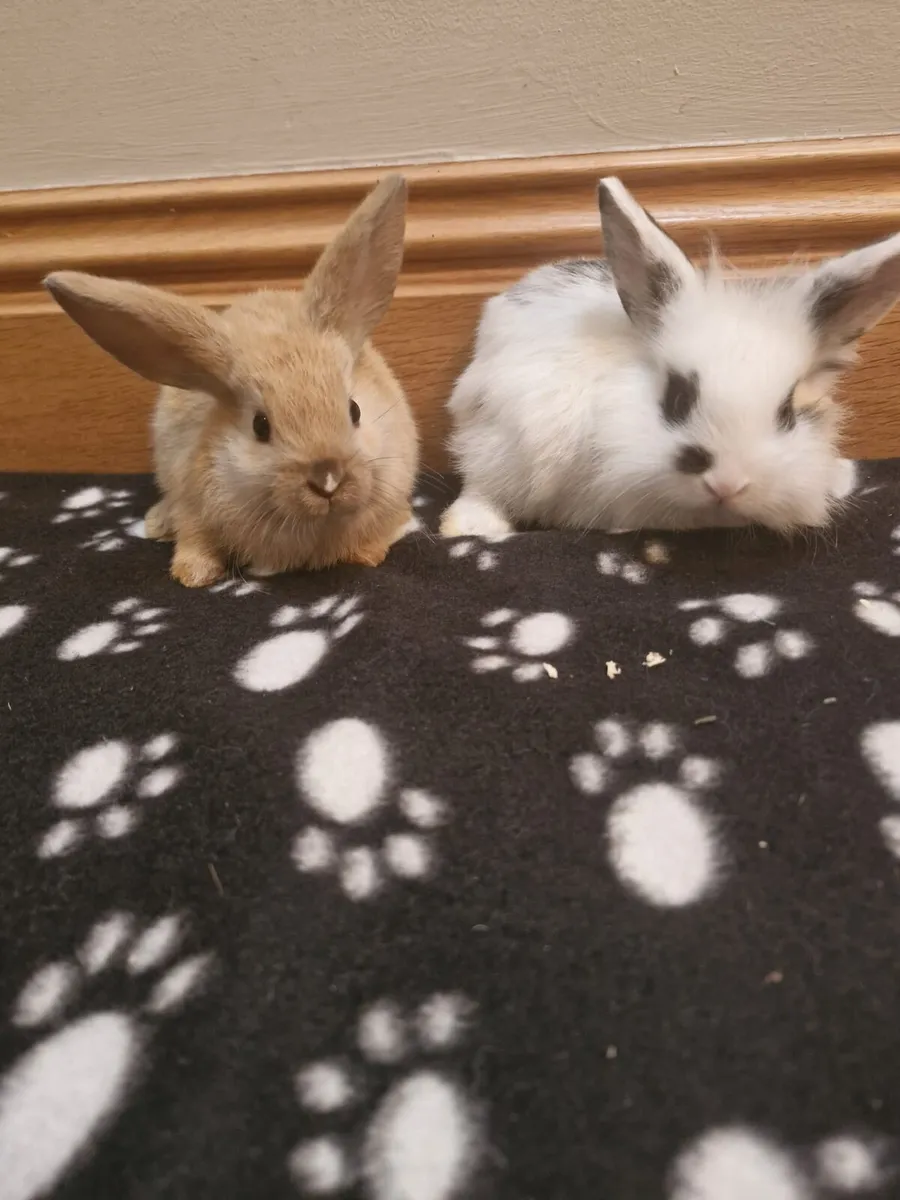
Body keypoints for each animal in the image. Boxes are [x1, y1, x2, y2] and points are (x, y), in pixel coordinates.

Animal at [45, 175, 419, 587]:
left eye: (354, 410)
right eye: (260, 425)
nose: (328, 479)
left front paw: (369, 555)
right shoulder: (194, 506)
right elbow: (195, 540)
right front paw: (193, 575)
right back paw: (157, 524)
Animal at [440, 176, 900, 540]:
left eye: (787, 412)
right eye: (677, 398)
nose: (727, 485)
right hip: (498, 436)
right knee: (481, 484)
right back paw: (470, 528)